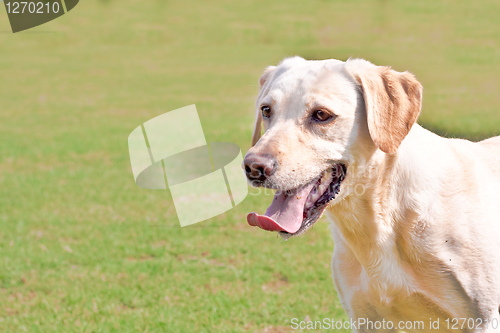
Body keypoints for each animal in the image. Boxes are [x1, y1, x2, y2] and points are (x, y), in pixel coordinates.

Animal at [244, 55, 500, 330]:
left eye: (321, 114)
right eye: (266, 110)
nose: (253, 167)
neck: (382, 221)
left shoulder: (483, 321)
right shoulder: (367, 319)